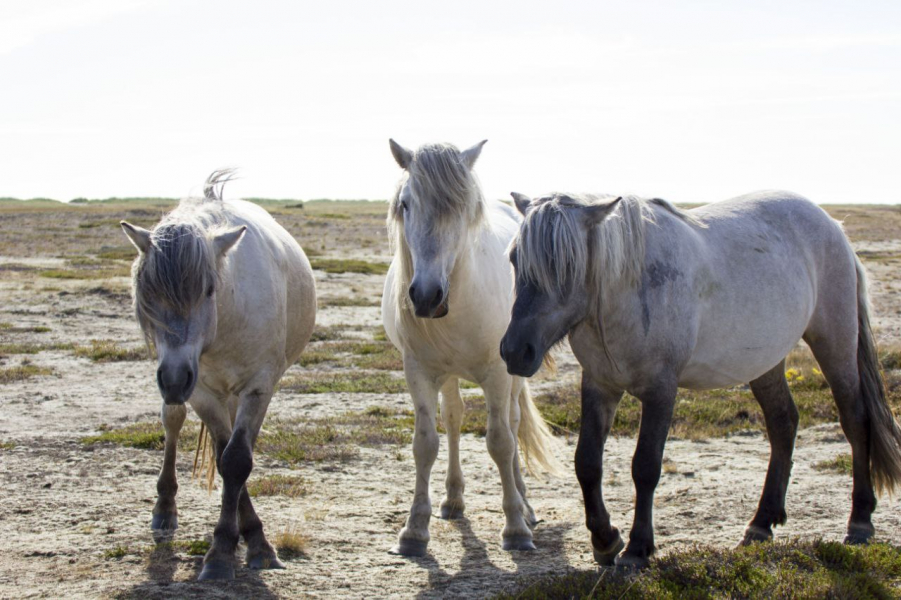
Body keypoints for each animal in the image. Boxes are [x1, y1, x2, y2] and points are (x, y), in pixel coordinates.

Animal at [120, 170, 316, 580]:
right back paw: (165, 509)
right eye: (147, 294)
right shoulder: (202, 393)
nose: (174, 379)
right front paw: (226, 548)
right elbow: (226, 456)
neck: (226, 321)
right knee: (173, 421)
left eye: (209, 289)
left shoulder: (259, 386)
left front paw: (248, 544)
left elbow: (237, 460)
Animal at [381, 140, 560, 556]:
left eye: (462, 207)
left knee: (512, 422)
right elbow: (425, 444)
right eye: (406, 204)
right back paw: (453, 500)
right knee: (454, 418)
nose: (426, 296)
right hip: (448, 375)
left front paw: (515, 528)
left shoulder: (498, 372)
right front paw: (414, 530)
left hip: (514, 375)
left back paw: (525, 506)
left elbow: (500, 441)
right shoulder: (418, 372)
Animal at [500, 190, 901, 568]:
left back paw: (860, 521)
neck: (625, 292)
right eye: (514, 259)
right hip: (766, 363)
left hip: (835, 343)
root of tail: (832, 225)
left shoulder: (661, 390)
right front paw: (605, 539)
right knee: (783, 423)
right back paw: (761, 524)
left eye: (566, 266)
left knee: (855, 421)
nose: (516, 351)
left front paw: (638, 548)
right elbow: (587, 463)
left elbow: (645, 466)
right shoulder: (600, 385)